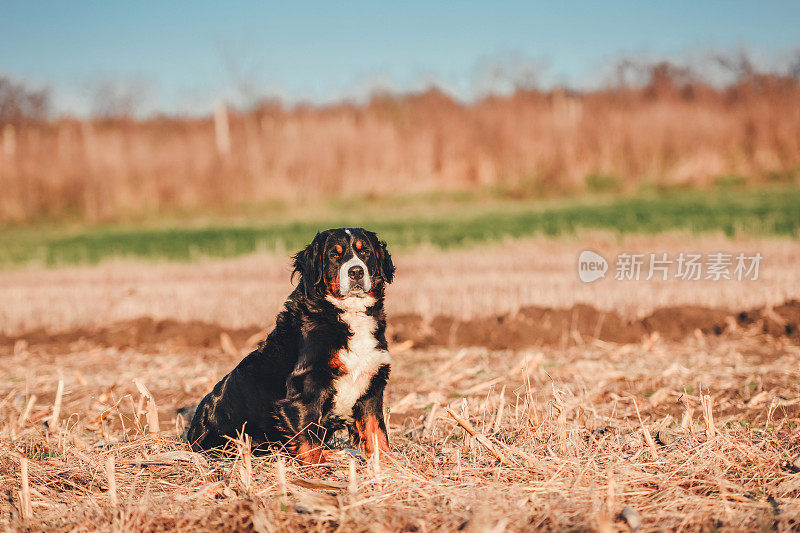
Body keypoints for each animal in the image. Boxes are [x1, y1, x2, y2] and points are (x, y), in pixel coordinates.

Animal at [188, 227, 400, 464]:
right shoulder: (305, 388)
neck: (347, 313)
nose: (356, 272)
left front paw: (391, 465)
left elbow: (377, 432)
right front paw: (317, 470)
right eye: (334, 255)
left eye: (365, 252)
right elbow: (309, 440)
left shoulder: (371, 387)